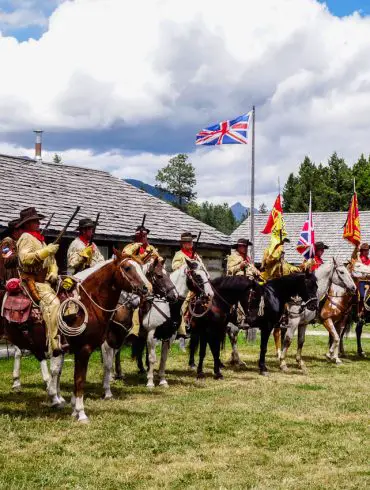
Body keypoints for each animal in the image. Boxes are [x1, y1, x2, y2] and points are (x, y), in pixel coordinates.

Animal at [2, 251, 150, 424]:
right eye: (127, 268)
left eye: (142, 268)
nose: (146, 288)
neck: (87, 305)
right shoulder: (84, 349)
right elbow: (79, 380)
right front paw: (81, 413)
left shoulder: (75, 350)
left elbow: (71, 377)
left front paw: (72, 408)